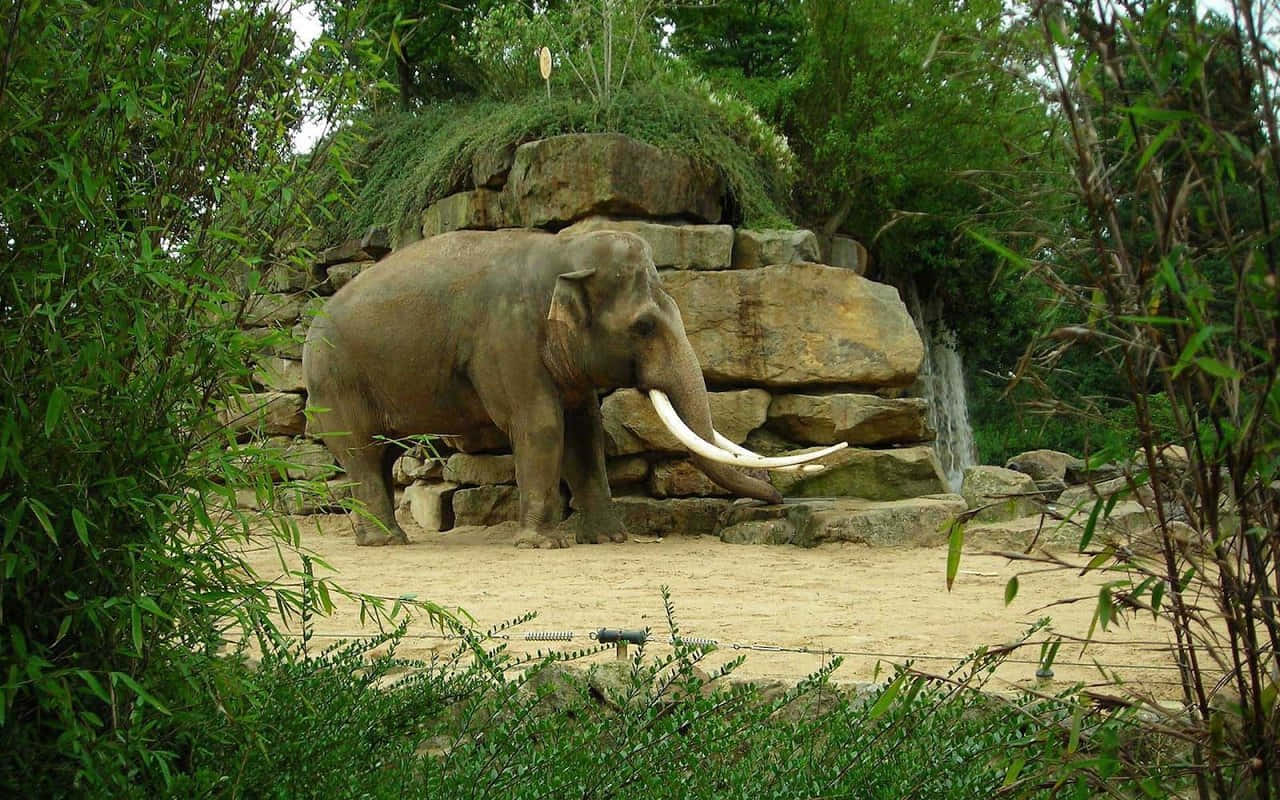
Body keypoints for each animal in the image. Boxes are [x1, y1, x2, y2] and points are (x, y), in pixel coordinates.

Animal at [302, 229, 843, 548]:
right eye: (644, 326)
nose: (776, 500)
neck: (560, 252)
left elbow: (585, 431)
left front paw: (611, 540)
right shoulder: (507, 338)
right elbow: (541, 424)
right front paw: (543, 545)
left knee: (378, 457)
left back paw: (378, 537)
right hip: (333, 381)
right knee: (360, 454)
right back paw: (387, 543)